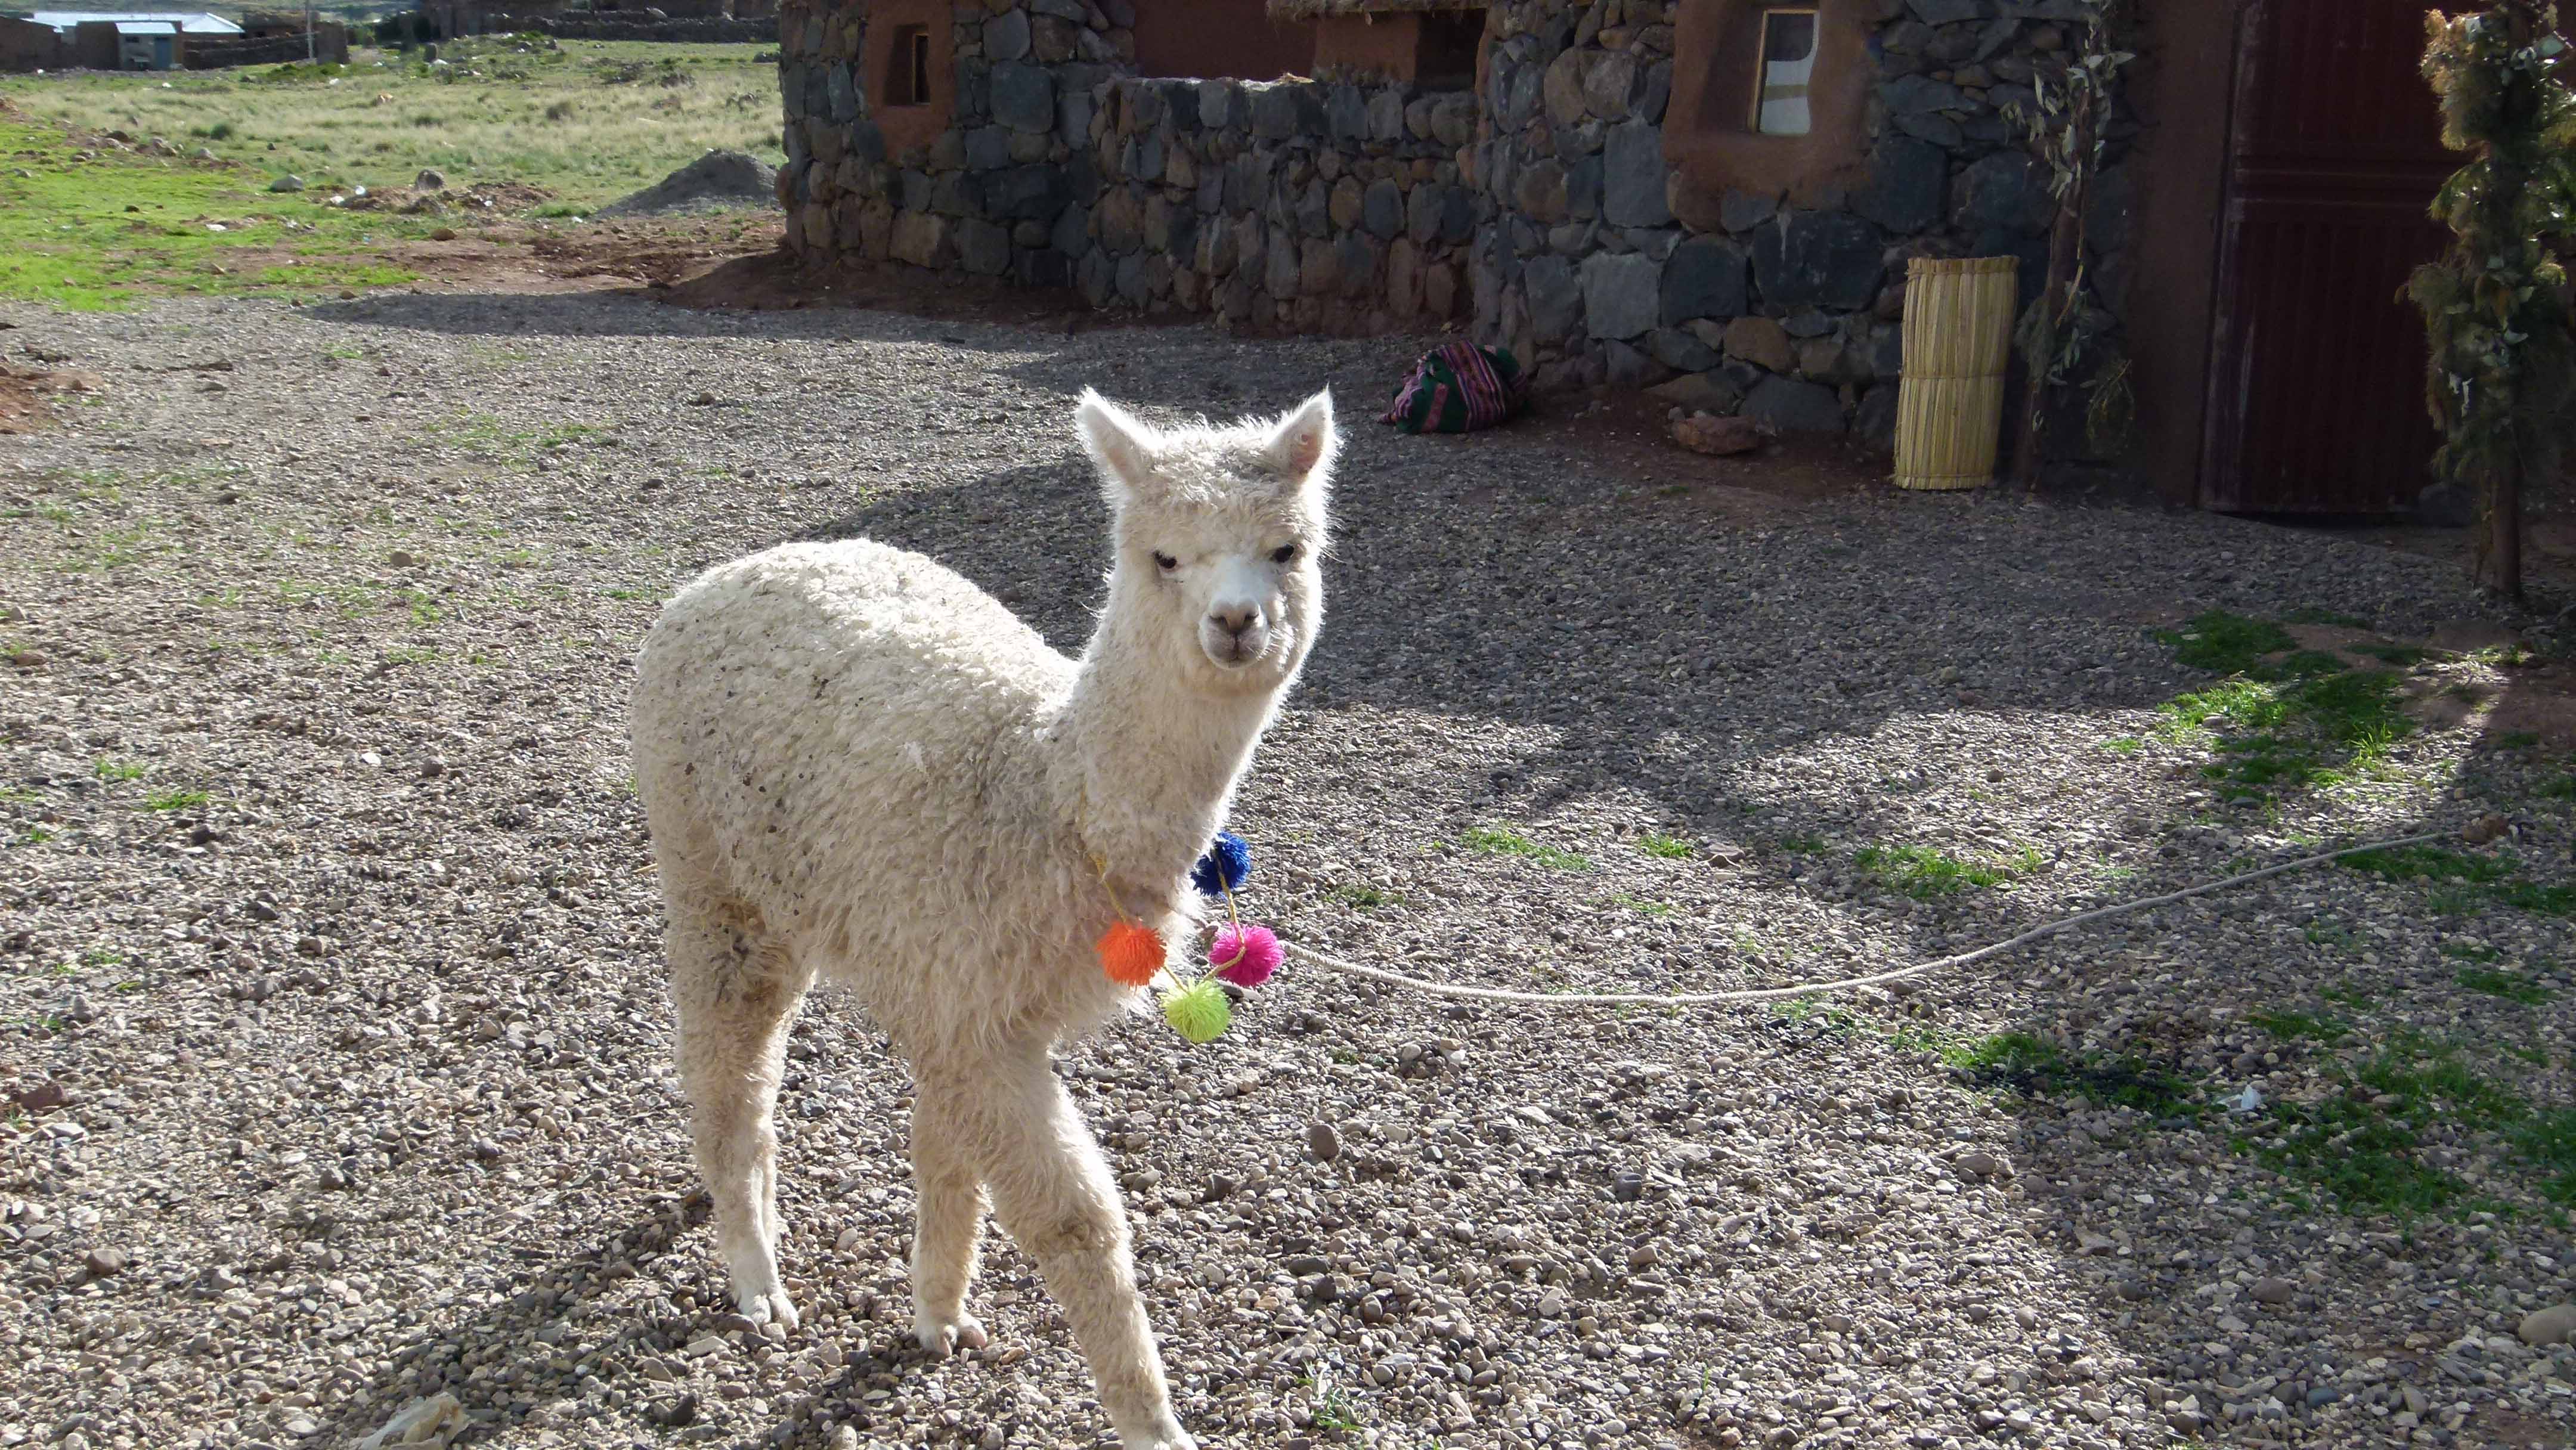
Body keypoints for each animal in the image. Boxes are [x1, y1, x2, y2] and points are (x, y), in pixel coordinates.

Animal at [629, 387, 1338, 1450]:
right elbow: (1076, 1221)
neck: (1048, 791)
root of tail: (731, 572)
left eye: (1288, 547)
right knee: (730, 1076)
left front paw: (940, 1314)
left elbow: (945, 1150)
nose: (1237, 623)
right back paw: (756, 1280)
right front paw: (1152, 1423)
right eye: (1162, 556)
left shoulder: (971, 997)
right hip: (708, 870)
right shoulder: (974, 1008)